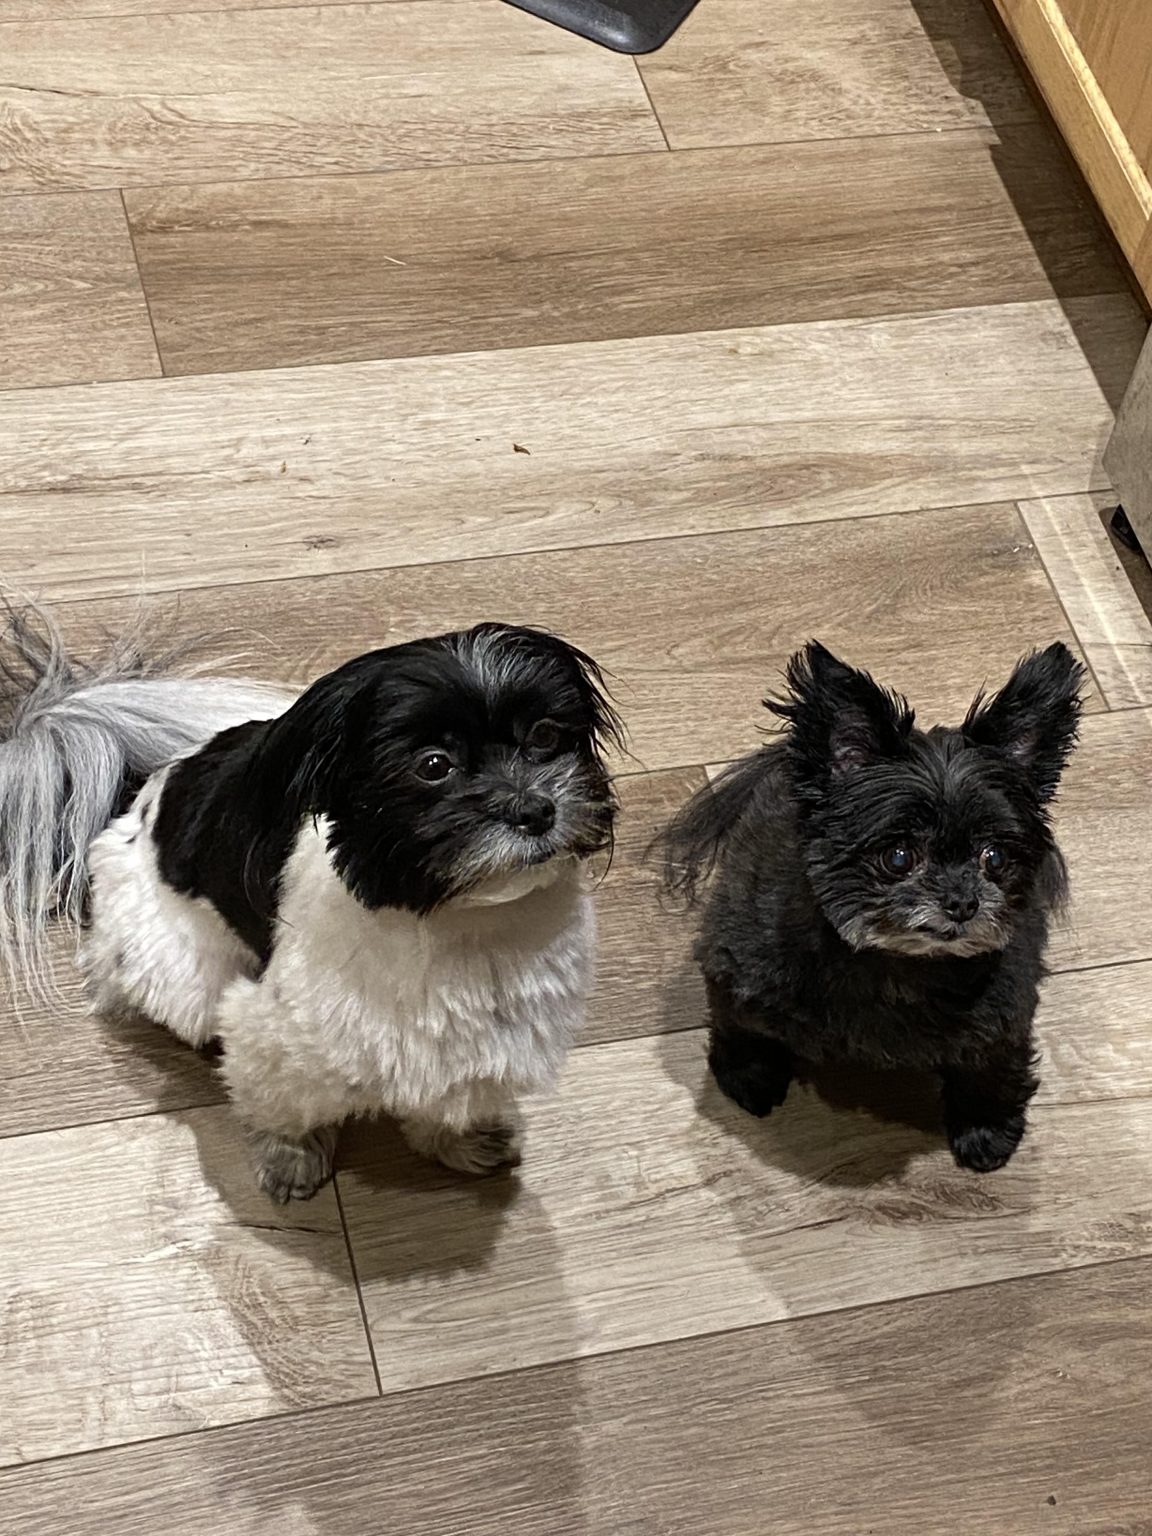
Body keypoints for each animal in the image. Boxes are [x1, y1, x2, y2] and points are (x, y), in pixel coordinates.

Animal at [0, 605, 621, 1200]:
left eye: (546, 735)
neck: (462, 918)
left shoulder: (482, 1042)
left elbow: (450, 1100)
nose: (535, 809)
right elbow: (284, 1108)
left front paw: (462, 1140)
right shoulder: (280, 1037)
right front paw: (292, 1158)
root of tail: (141, 796)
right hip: (177, 968)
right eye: (433, 765)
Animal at [663, 640, 1084, 1172]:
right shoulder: (738, 972)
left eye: (995, 857)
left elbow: (991, 1069)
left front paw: (986, 1130)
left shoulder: (1005, 1008)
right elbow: (737, 1026)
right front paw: (747, 1076)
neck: (900, 967)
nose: (961, 902)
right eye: (899, 856)